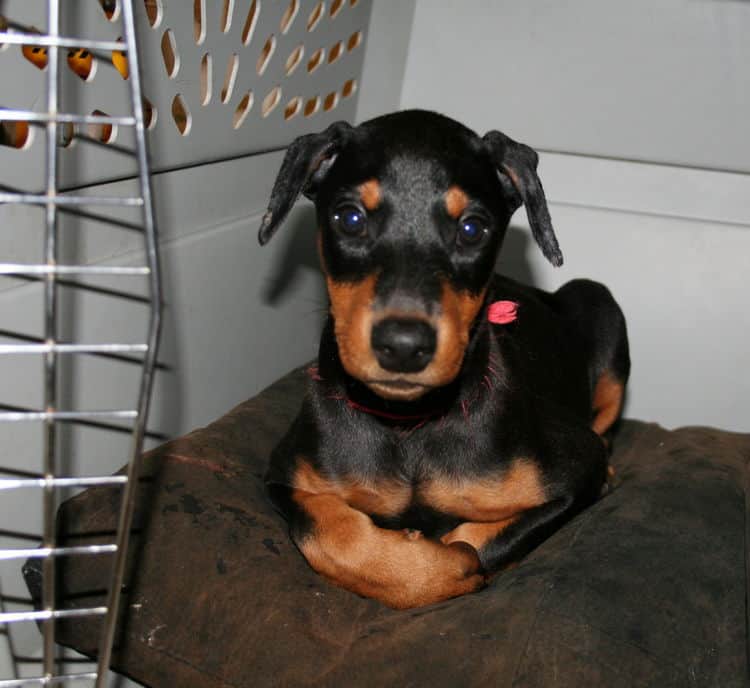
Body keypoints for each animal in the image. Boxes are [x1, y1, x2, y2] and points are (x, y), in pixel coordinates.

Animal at [258, 110, 628, 612]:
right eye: (349, 218)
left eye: (472, 228)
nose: (403, 346)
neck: (409, 425)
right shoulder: (285, 478)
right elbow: (324, 530)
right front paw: (420, 563)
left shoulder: (577, 467)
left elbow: (479, 541)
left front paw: (447, 555)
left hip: (601, 305)